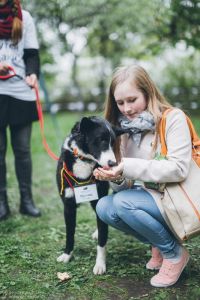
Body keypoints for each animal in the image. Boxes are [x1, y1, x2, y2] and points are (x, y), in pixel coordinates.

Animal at [55, 116, 126, 274]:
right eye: (101, 140)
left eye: (113, 142)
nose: (113, 163)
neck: (84, 160)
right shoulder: (68, 206)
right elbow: (69, 233)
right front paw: (67, 255)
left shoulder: (99, 199)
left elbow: (102, 239)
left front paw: (100, 264)